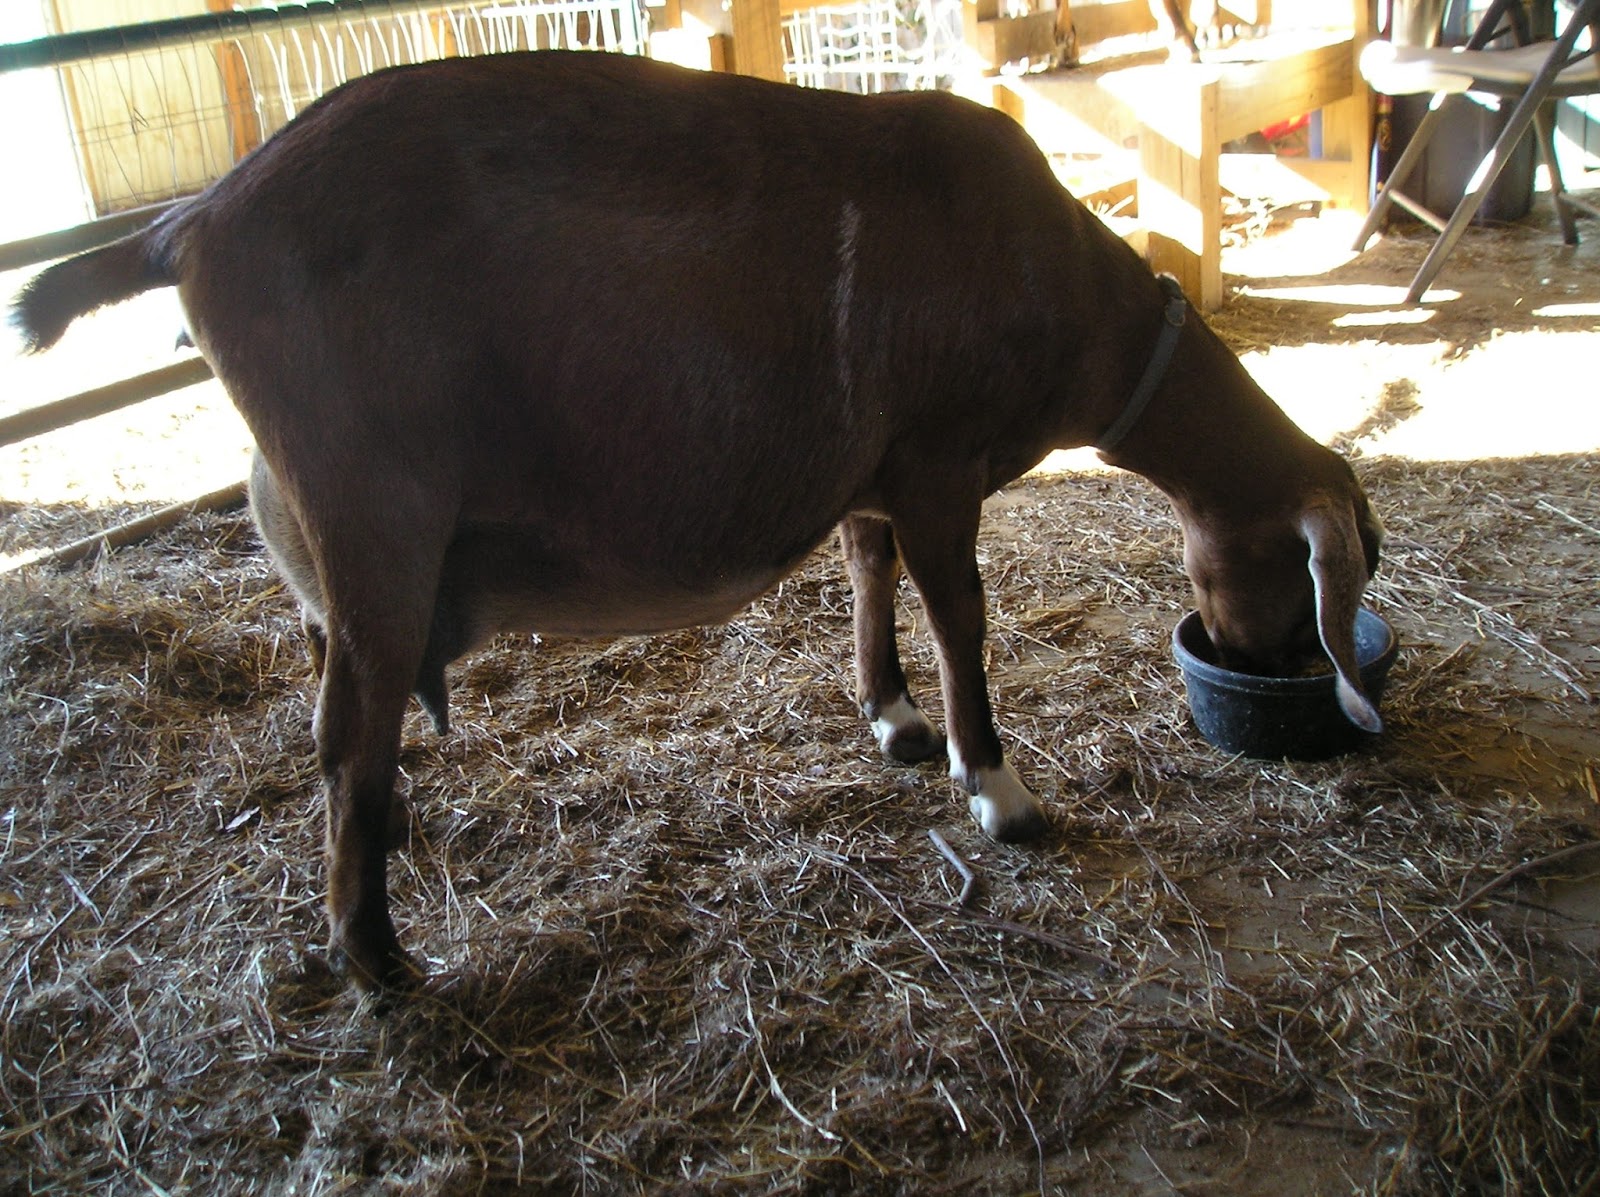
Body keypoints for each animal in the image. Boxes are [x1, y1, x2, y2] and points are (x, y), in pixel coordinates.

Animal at [12, 50, 1382, 989]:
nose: (1270, 663)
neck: (1082, 320)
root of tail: (188, 220)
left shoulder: (874, 469)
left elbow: (869, 572)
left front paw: (889, 718)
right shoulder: (937, 461)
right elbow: (961, 617)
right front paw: (997, 789)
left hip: (298, 505)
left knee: (329, 669)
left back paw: (389, 843)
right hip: (375, 502)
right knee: (344, 728)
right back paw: (379, 959)